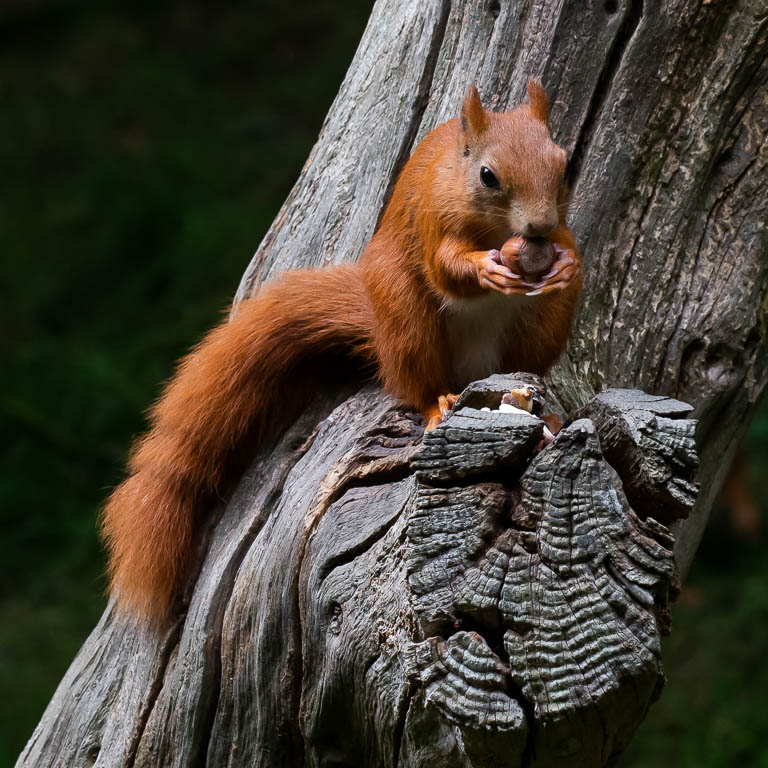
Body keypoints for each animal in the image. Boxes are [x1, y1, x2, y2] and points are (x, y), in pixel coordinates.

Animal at [102, 79, 582, 621]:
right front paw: (486, 267)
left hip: (537, 330)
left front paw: (567, 262)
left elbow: (570, 245)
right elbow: (446, 266)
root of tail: (470, 371)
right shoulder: (433, 217)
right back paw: (438, 403)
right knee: (417, 382)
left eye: (563, 165)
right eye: (488, 176)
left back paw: (546, 413)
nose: (539, 227)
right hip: (404, 315)